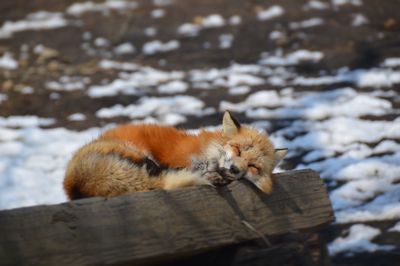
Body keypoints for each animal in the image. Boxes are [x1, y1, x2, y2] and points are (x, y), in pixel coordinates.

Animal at [63, 110, 288, 200]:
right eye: (238, 149)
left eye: (253, 167)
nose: (234, 169)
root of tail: (72, 184)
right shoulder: (181, 159)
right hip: (138, 153)